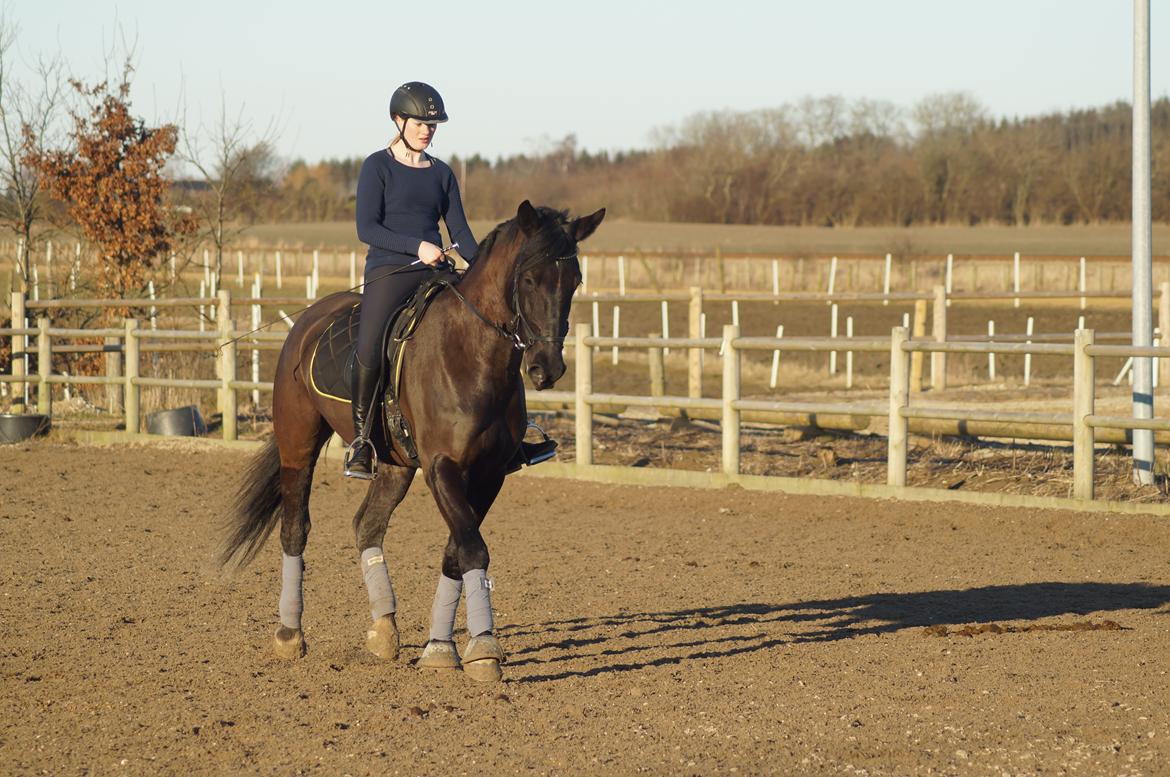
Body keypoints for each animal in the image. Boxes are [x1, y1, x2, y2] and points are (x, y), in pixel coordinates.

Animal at [217, 200, 603, 678]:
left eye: (575, 281)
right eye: (529, 279)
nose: (547, 368)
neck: (474, 355)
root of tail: (307, 320)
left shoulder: (490, 474)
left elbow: (458, 550)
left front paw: (441, 648)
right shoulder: (441, 468)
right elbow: (473, 549)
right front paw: (483, 649)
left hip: (395, 465)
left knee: (367, 526)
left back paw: (384, 630)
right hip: (298, 447)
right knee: (295, 529)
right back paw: (290, 635)